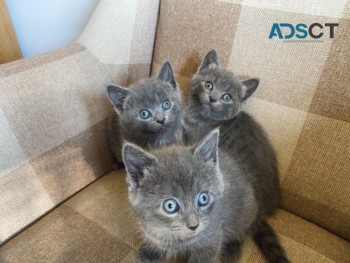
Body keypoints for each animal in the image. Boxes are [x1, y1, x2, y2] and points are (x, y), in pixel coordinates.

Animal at [123, 130, 290, 263]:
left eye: (203, 198)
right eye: (170, 206)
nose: (194, 225)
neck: (180, 240)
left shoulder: (212, 239)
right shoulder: (154, 235)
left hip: (243, 215)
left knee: (240, 233)